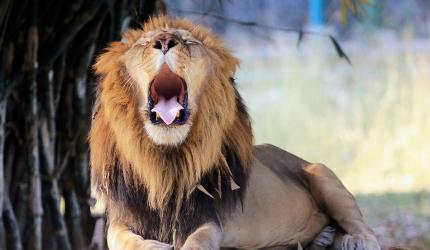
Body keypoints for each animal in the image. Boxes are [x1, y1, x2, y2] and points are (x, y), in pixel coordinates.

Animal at [90, 16, 380, 250]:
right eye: (144, 43)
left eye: (187, 41)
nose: (163, 41)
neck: (164, 159)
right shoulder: (122, 218)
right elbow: (120, 238)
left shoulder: (209, 218)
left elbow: (196, 242)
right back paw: (324, 238)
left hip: (322, 174)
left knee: (365, 228)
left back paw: (356, 240)